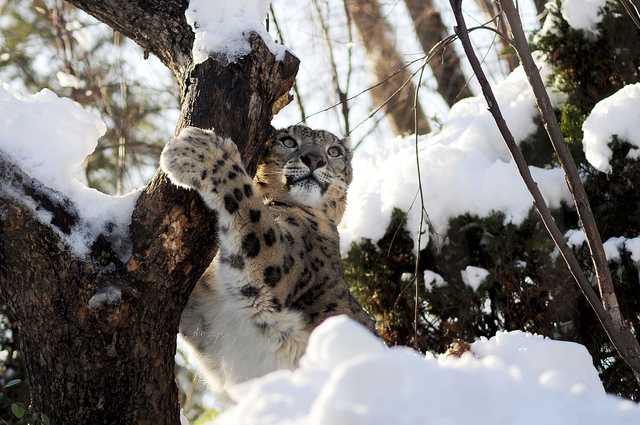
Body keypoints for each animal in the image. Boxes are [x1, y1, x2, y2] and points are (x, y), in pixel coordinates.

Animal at [160, 125, 375, 402]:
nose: (314, 159)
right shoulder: (202, 315)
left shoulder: (275, 263)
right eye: (288, 141)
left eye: (334, 151)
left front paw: (201, 150)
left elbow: (250, 207)